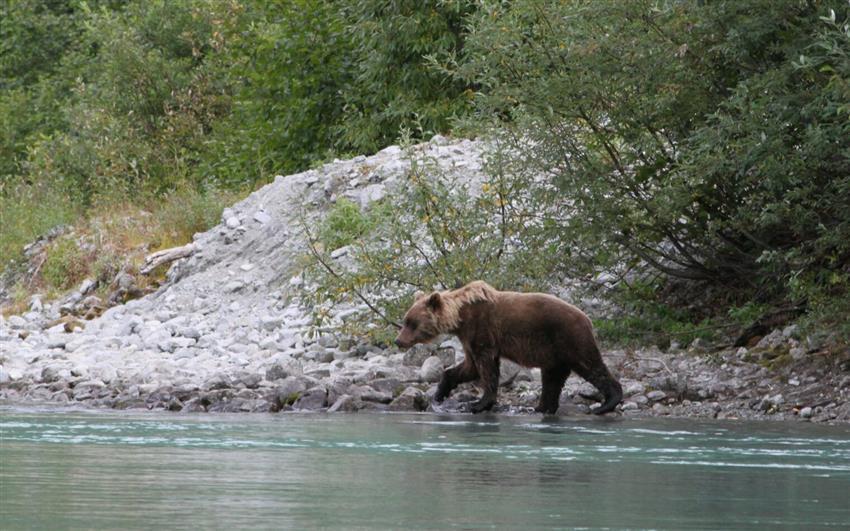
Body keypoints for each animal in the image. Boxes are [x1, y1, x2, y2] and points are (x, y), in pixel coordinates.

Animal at [394, 282, 620, 416]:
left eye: (412, 323)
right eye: (406, 320)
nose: (398, 341)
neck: (460, 317)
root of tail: (587, 318)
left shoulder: (482, 331)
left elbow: (486, 368)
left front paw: (478, 403)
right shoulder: (468, 338)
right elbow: (467, 368)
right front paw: (440, 393)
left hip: (569, 338)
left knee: (590, 365)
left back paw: (606, 403)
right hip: (553, 353)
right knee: (552, 379)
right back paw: (542, 408)